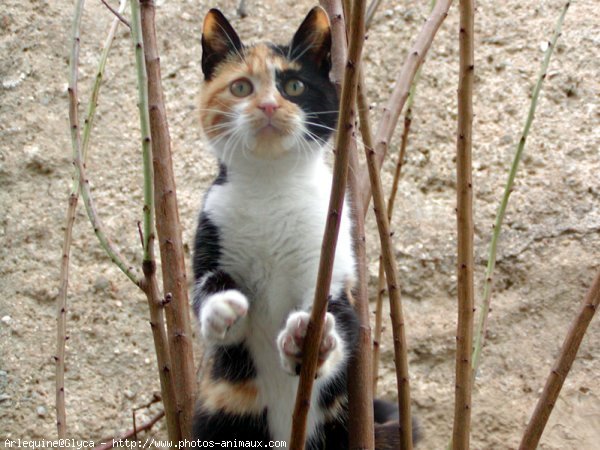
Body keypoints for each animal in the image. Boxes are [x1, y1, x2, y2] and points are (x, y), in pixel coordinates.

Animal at [191, 7, 412, 450]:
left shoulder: (332, 256)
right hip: (221, 416)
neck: (271, 188)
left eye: (294, 85)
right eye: (240, 87)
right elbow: (205, 289)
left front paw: (308, 341)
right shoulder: (211, 227)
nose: (268, 106)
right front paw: (222, 307)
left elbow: (342, 322)